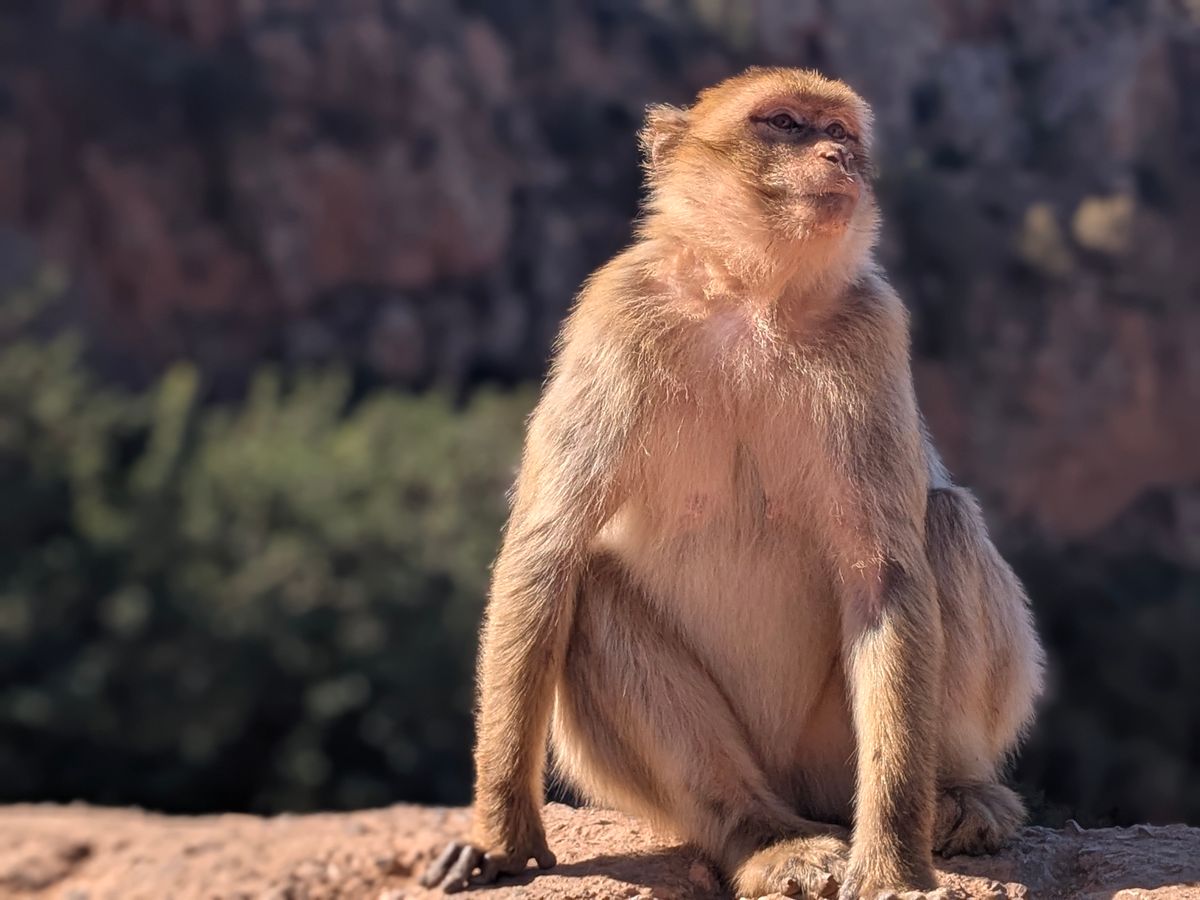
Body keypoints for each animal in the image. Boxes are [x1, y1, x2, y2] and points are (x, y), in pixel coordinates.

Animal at [420, 67, 1044, 900]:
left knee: (942, 524)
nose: (838, 158)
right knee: (592, 588)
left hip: (832, 753)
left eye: (840, 132)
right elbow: (546, 553)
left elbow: (884, 573)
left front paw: (891, 861)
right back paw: (763, 837)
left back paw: (956, 794)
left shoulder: (873, 327)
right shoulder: (615, 315)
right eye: (783, 123)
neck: (752, 295)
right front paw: (501, 836)